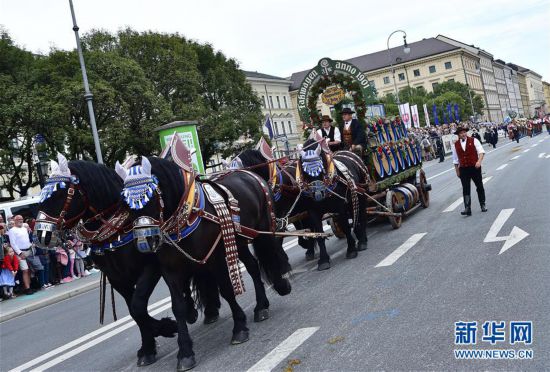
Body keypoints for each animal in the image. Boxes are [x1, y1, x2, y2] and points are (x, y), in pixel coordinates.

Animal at [34, 156, 179, 366]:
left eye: (59, 195)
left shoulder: (151, 267)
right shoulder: (118, 278)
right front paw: (149, 345)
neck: (117, 231)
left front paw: (166, 327)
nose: (39, 235)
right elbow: (135, 311)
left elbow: (138, 306)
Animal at [120, 157, 294, 372]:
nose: (144, 241)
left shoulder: (215, 258)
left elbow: (226, 289)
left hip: (263, 230)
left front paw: (239, 327)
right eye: (125, 204)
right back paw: (261, 306)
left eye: (150, 197)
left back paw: (280, 285)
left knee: (271, 254)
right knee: (253, 267)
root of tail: (250, 174)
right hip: (239, 241)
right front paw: (185, 352)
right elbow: (177, 307)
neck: (187, 217)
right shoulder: (169, 270)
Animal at [296, 140, 368, 270]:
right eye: (304, 172)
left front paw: (351, 250)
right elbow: (319, 234)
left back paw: (362, 241)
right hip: (351, 199)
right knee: (355, 216)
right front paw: (323, 260)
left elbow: (345, 227)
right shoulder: (312, 212)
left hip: (362, 194)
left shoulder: (340, 207)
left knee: (361, 216)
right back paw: (359, 236)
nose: (318, 194)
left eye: (322, 170)